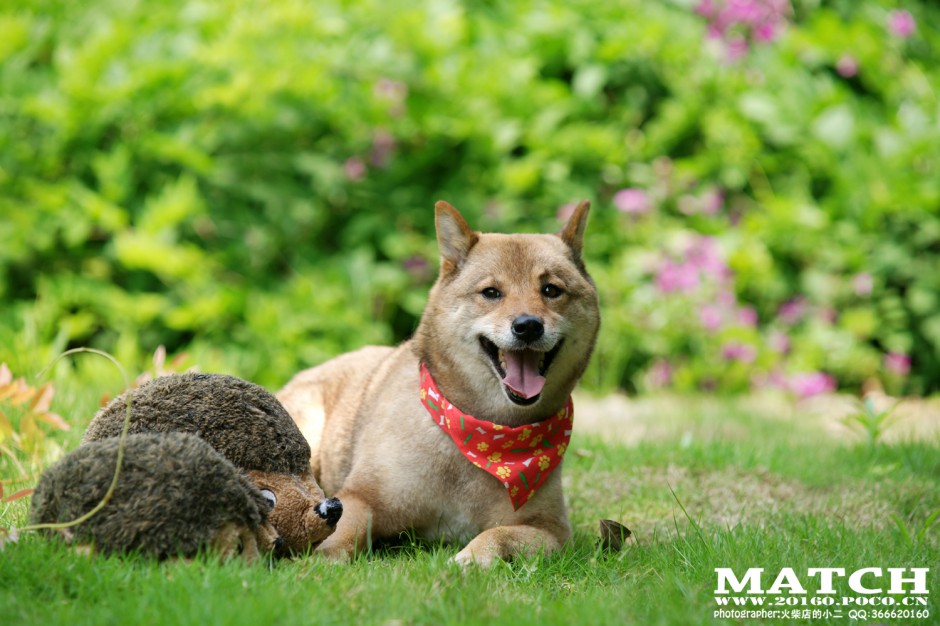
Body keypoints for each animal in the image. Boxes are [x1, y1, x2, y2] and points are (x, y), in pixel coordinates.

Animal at [280, 201, 600, 564]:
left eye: (551, 290)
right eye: (491, 293)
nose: (528, 326)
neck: (482, 435)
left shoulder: (552, 532)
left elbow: (498, 534)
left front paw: (471, 560)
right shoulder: (362, 498)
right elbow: (342, 533)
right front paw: (319, 562)